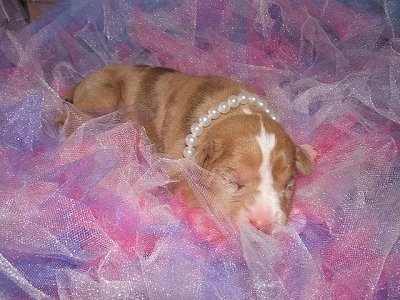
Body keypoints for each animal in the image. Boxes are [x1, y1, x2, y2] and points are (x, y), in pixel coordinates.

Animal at [63, 63, 316, 232]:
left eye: (289, 186)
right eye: (231, 181)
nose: (263, 225)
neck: (229, 112)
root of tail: (80, 83)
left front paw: (306, 151)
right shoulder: (178, 167)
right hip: (103, 96)